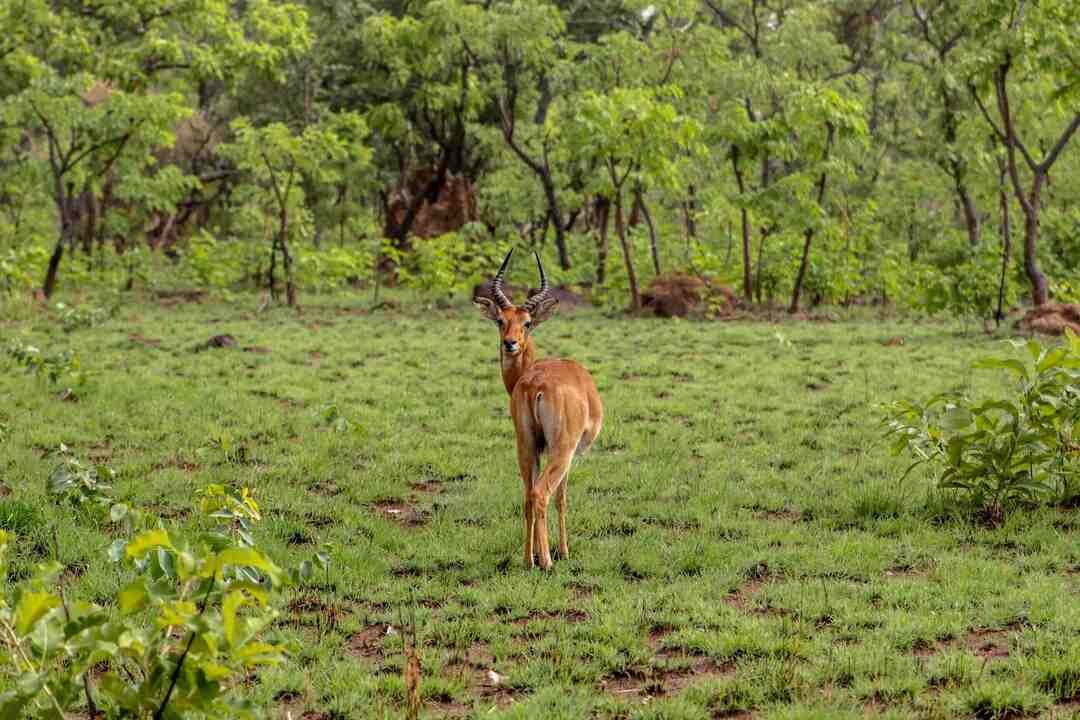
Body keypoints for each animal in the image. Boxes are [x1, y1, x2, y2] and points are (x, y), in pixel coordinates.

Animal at [477, 250, 604, 569]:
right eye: (500, 320)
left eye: (526, 322)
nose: (509, 343)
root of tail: (536, 384)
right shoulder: (570, 454)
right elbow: (562, 498)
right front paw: (564, 551)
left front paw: (535, 552)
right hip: (561, 449)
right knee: (542, 493)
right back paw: (547, 561)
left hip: (524, 444)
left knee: (527, 495)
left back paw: (528, 559)